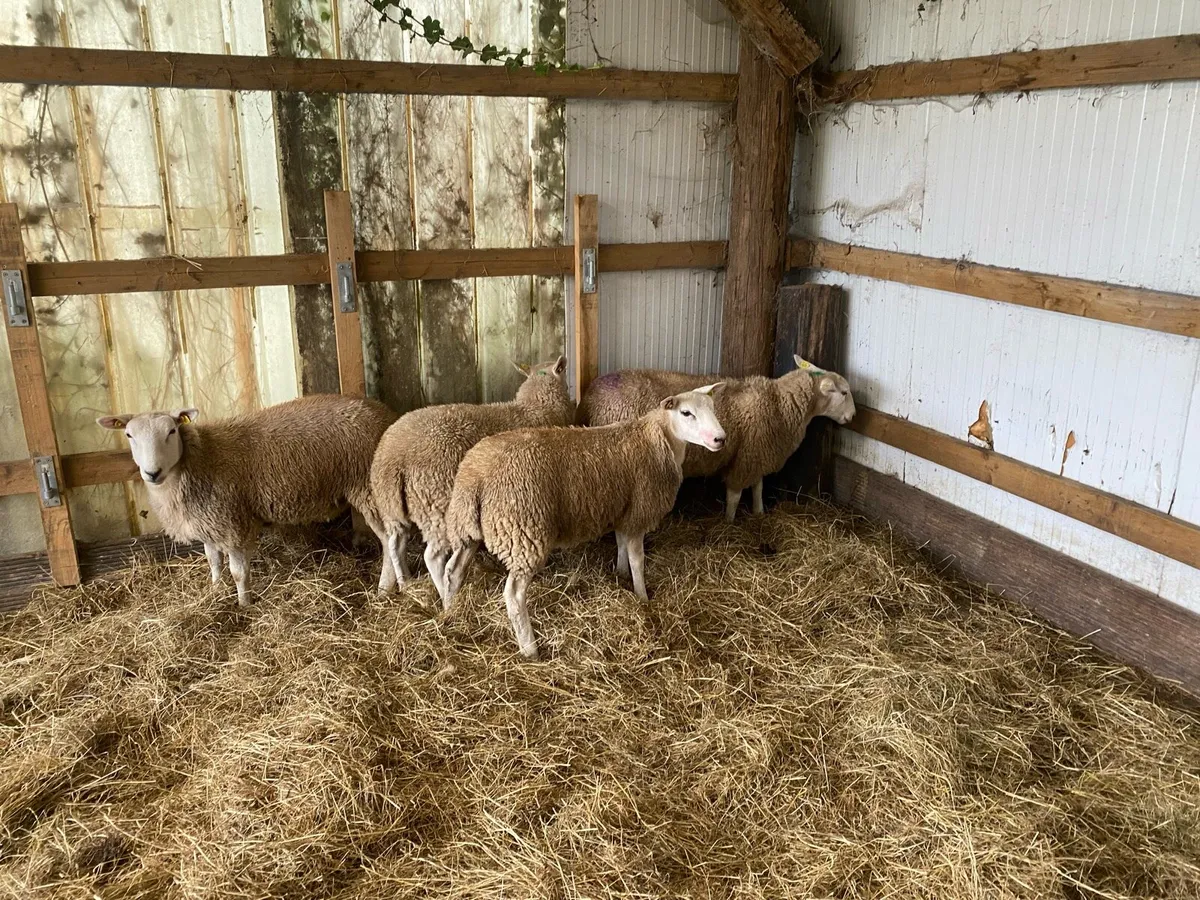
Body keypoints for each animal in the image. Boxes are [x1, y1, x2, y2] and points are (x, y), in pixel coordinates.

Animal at [97, 394, 397, 604]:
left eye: (171, 431)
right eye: (129, 435)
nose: (152, 472)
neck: (201, 458)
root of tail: (386, 415)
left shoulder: (232, 521)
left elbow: (238, 572)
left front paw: (244, 605)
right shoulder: (207, 522)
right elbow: (213, 561)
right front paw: (215, 591)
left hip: (371, 489)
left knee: (391, 541)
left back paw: (384, 589)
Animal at [369, 355, 574, 602]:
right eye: (562, 372)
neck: (534, 407)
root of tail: (394, 457)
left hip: (393, 508)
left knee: (395, 545)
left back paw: (406, 584)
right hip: (437, 504)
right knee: (433, 557)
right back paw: (446, 597)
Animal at [441, 384, 726, 660]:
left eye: (713, 408)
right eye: (686, 413)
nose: (720, 439)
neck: (659, 440)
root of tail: (476, 476)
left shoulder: (623, 510)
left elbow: (621, 544)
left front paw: (620, 573)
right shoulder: (638, 513)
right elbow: (638, 559)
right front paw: (643, 597)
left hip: (467, 528)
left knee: (453, 571)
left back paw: (449, 611)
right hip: (523, 533)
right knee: (513, 594)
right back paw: (530, 649)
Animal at [578, 355, 855, 522]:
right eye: (843, 392)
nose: (852, 416)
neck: (778, 402)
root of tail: (590, 396)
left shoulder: (755, 453)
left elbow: (758, 487)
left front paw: (759, 513)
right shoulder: (747, 458)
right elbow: (735, 495)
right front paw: (729, 523)